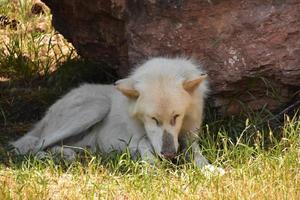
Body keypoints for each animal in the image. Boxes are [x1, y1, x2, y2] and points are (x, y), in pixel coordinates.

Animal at [10, 57, 224, 174]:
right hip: (96, 107)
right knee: (29, 146)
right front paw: (153, 168)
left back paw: (68, 155)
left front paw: (210, 169)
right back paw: (44, 158)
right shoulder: (137, 140)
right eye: (153, 119)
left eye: (176, 116)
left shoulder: (189, 137)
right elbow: (146, 147)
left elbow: (197, 156)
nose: (170, 154)